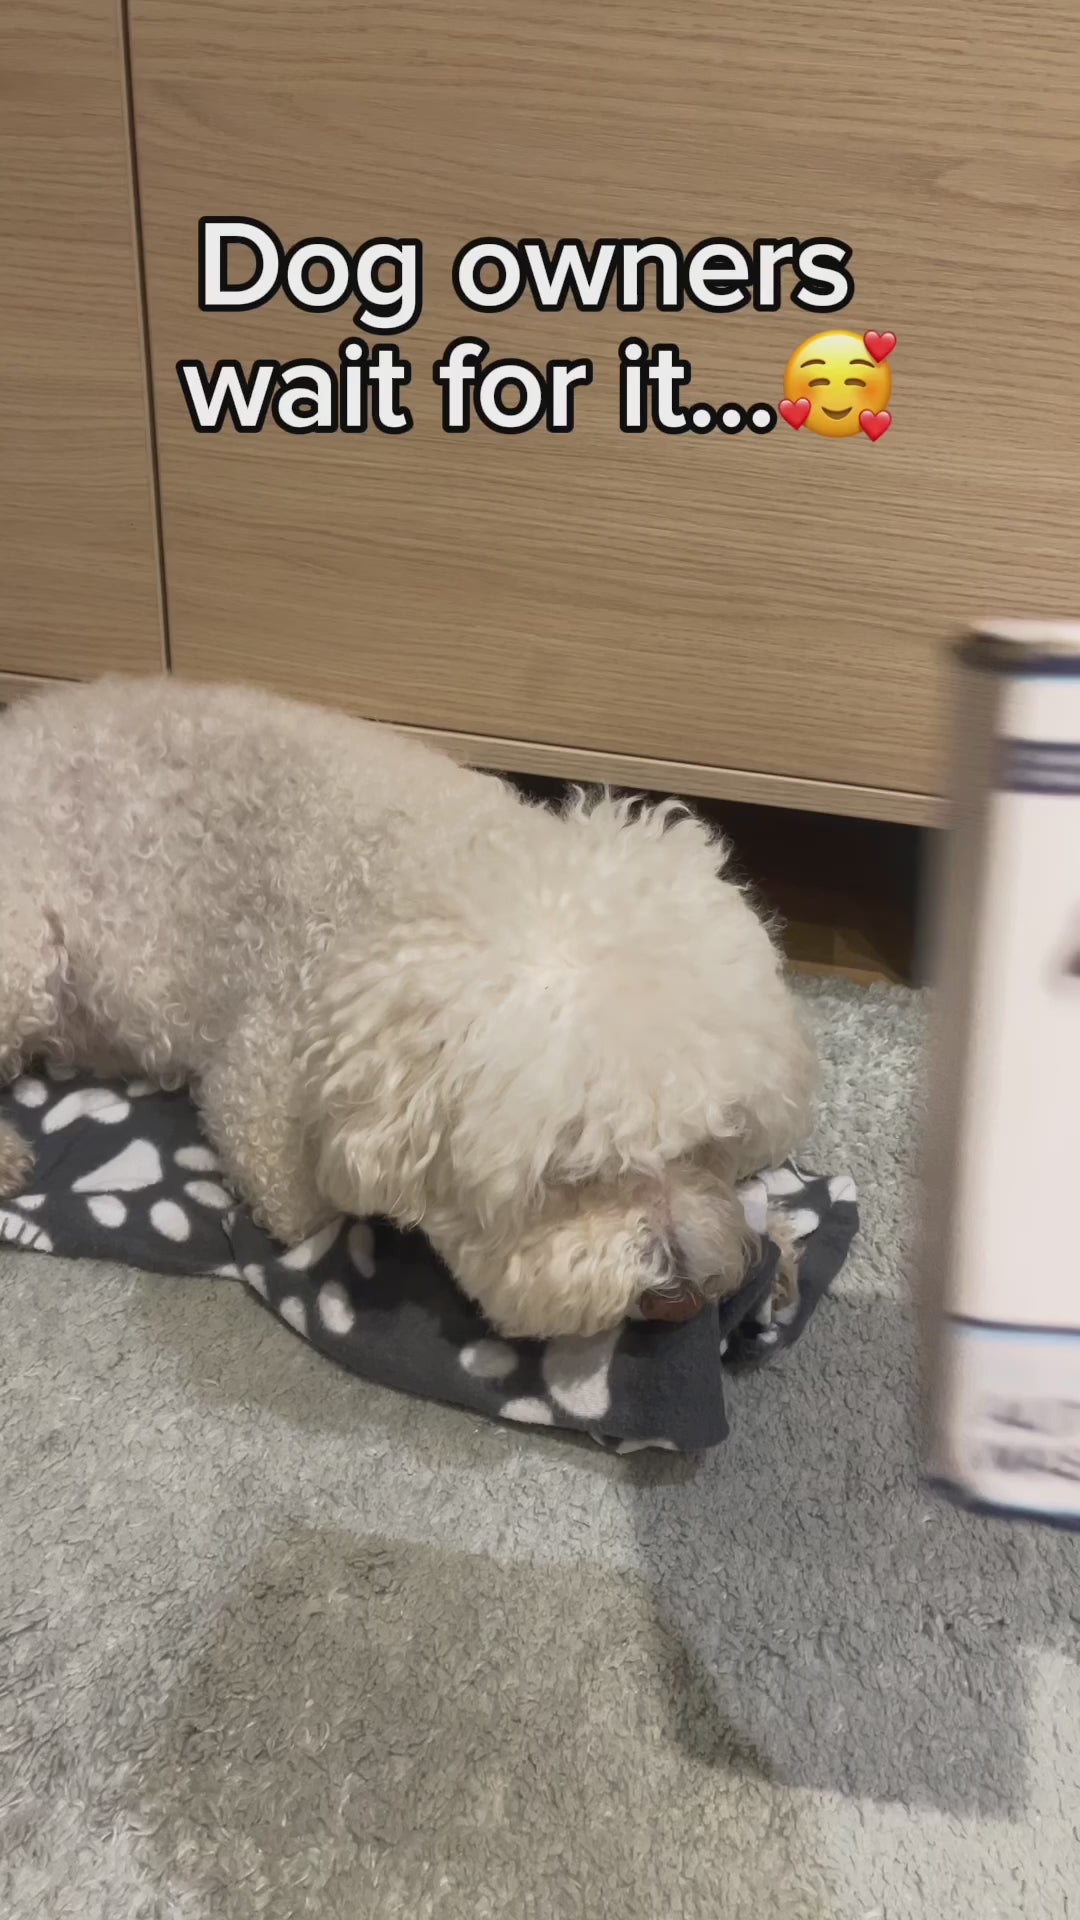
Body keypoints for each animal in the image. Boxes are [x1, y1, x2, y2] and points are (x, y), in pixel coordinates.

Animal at [0, 677, 814, 1338]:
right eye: (574, 1177)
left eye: (707, 1147)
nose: (679, 1298)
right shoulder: (261, 1114)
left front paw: (776, 1244)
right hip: (20, 951)